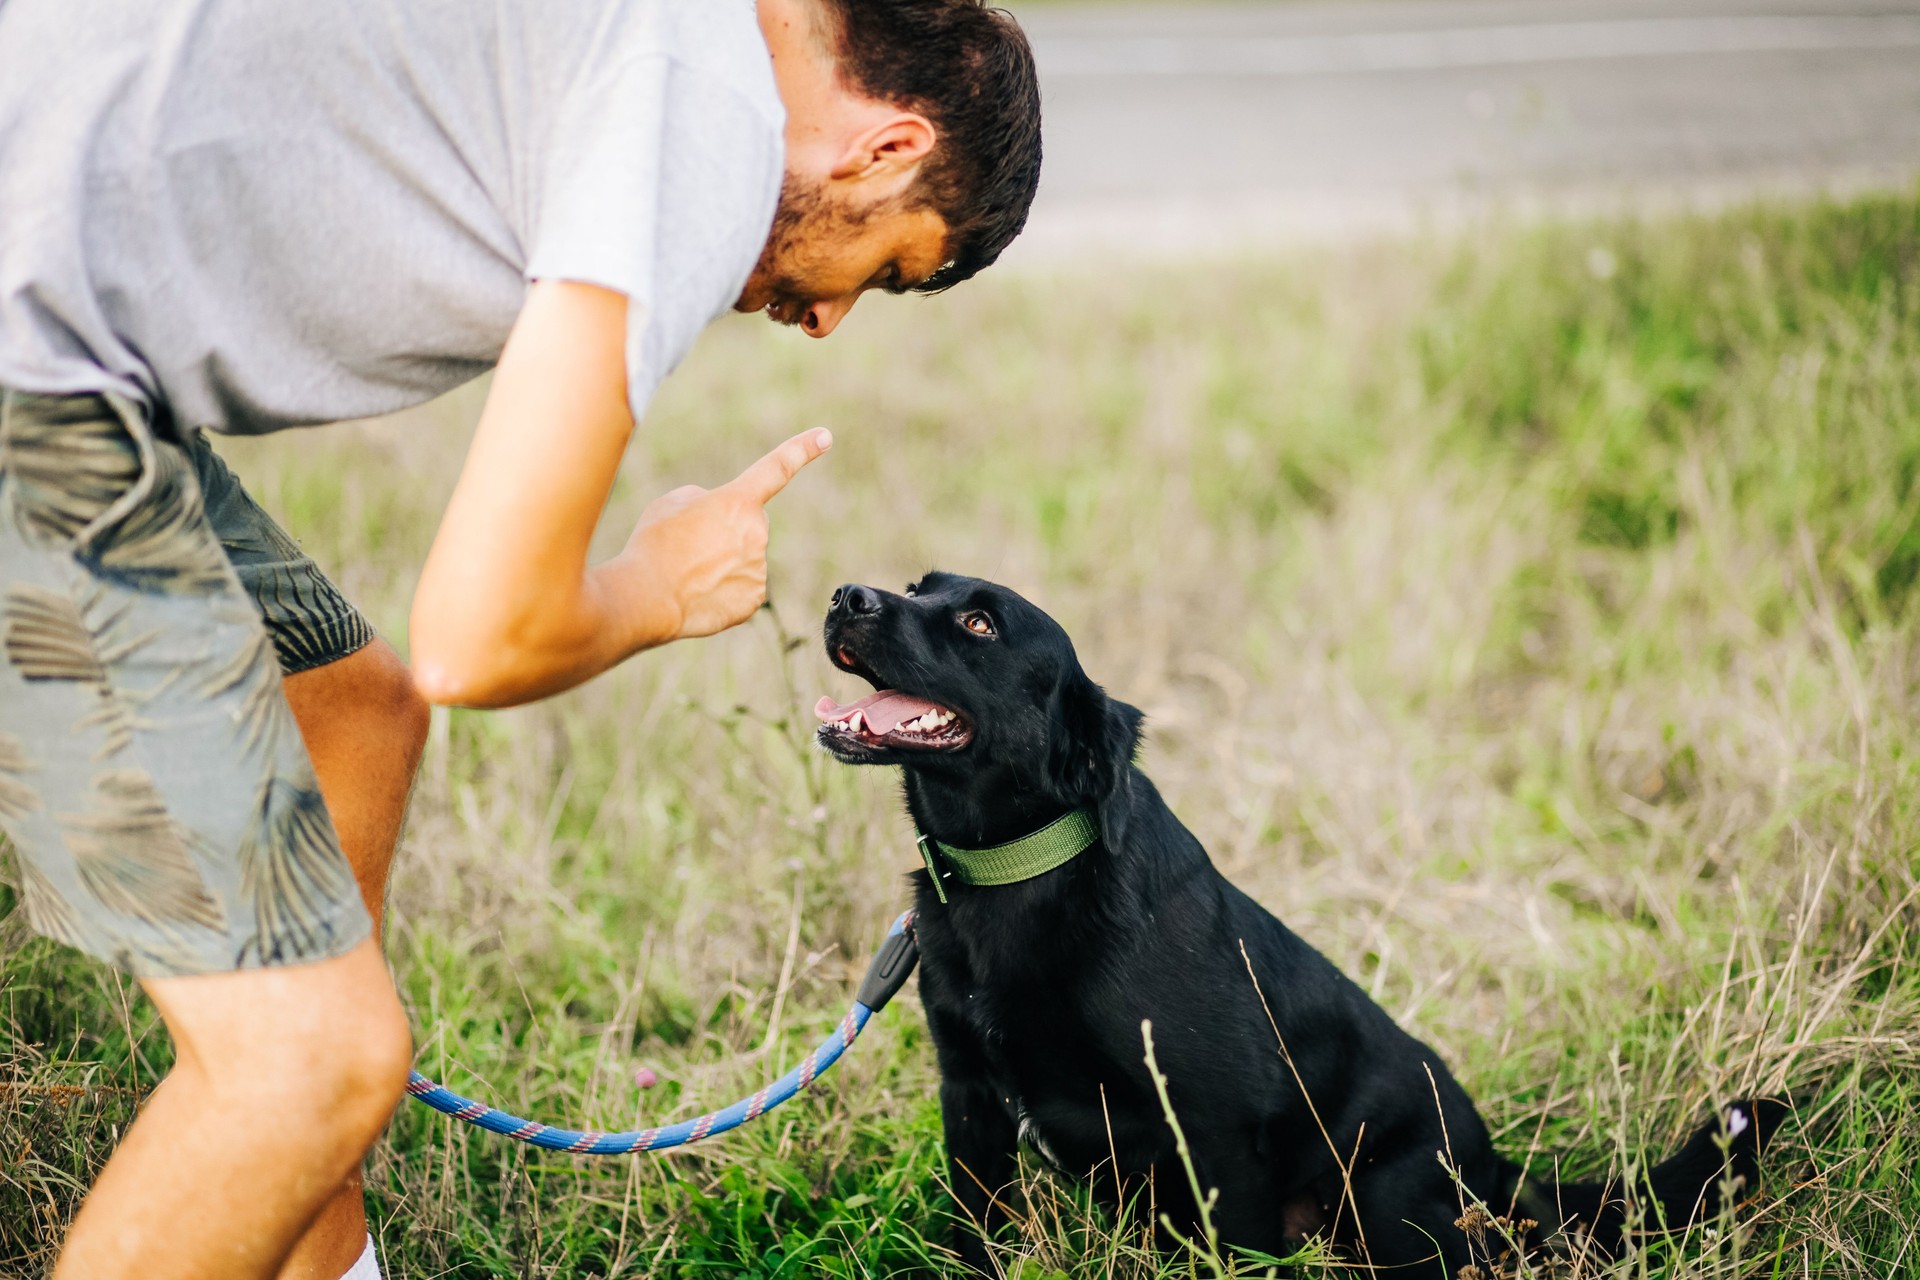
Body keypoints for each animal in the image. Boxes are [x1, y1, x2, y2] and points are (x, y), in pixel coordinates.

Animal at [814, 575, 1781, 1274]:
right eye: (917, 582)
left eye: (980, 623)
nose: (846, 594)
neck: (1017, 870)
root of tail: (1496, 1169)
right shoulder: (971, 1103)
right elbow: (974, 1236)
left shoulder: (1214, 1131)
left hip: (1389, 1208)